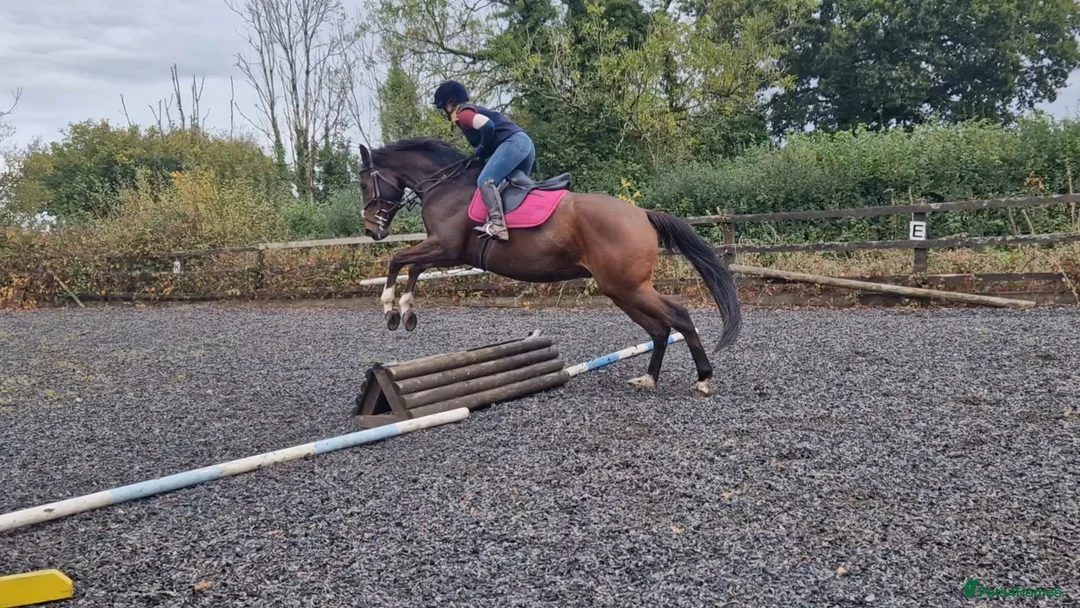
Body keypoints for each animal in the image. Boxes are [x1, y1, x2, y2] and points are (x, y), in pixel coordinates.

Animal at [356, 136, 741, 397]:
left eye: (363, 183)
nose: (373, 230)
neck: (446, 186)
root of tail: (642, 214)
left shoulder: (446, 248)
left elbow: (398, 259)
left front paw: (390, 307)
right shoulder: (445, 253)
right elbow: (412, 267)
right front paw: (405, 314)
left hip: (631, 288)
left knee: (679, 317)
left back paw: (704, 378)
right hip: (620, 290)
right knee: (660, 330)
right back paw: (649, 378)